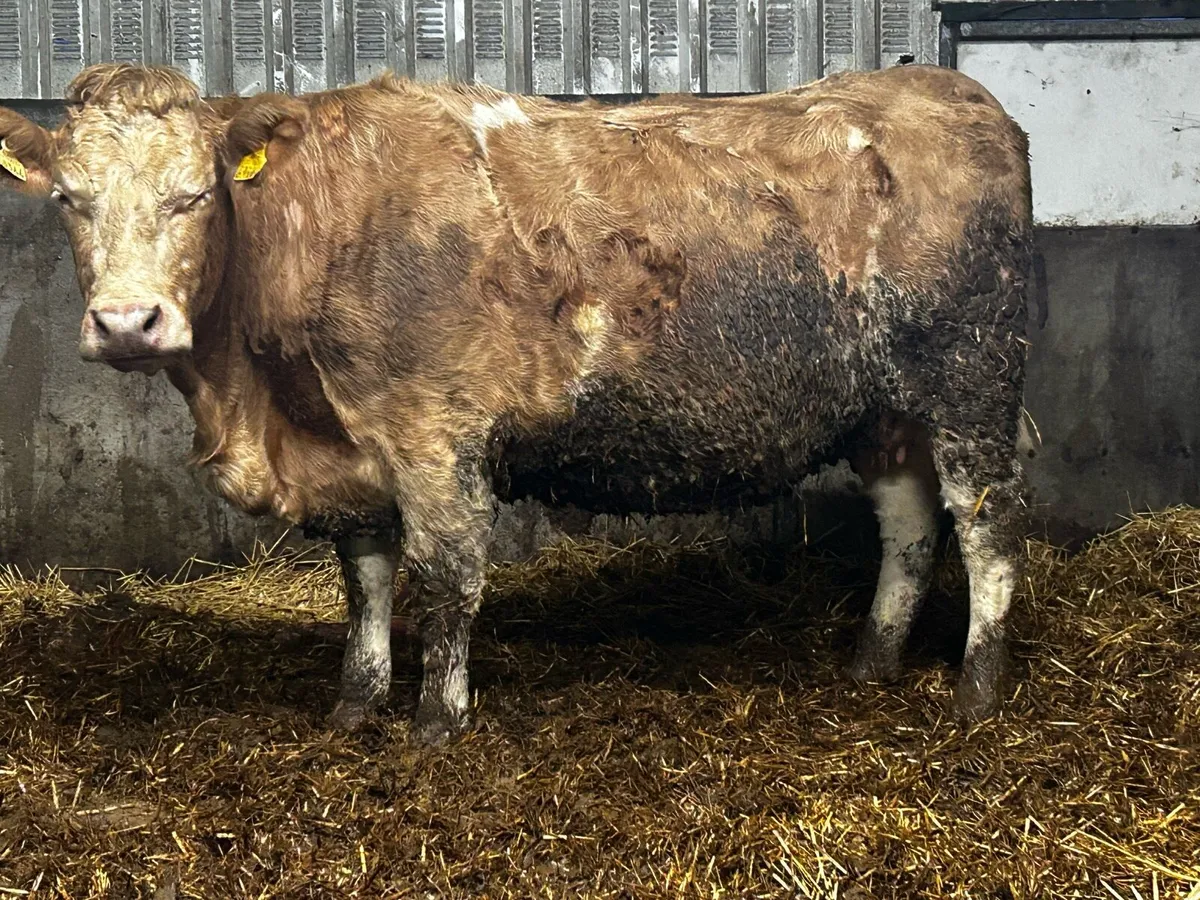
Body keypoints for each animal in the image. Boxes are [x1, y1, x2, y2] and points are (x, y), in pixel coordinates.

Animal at [0, 63, 1033, 745]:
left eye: (195, 195)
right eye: (71, 200)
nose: (127, 322)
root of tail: (947, 88)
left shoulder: (433, 429)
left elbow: (447, 577)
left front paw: (435, 720)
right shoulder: (350, 445)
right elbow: (365, 579)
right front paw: (355, 703)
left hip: (971, 383)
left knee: (986, 529)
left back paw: (977, 691)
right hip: (884, 409)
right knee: (910, 527)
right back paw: (872, 662)